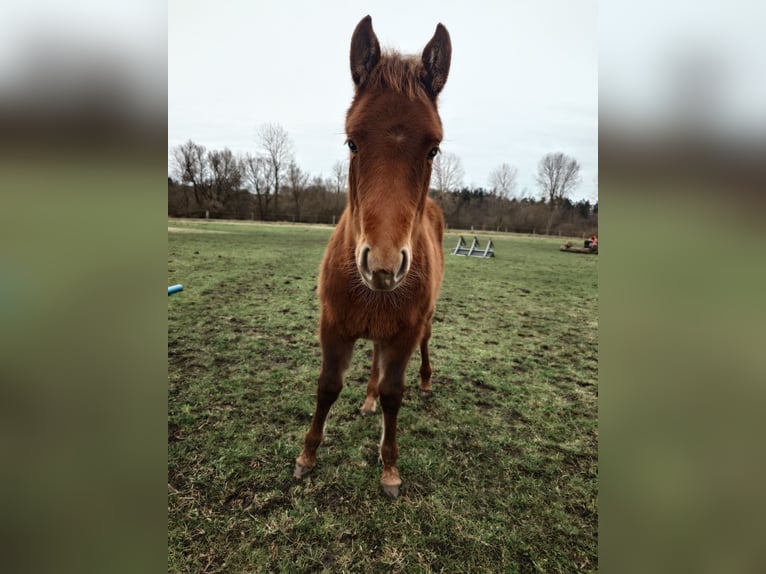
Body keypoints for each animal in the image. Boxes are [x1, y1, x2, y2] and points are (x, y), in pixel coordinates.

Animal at [294, 15, 451, 498]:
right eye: (352, 142)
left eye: (433, 148)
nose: (382, 265)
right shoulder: (333, 325)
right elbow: (328, 386)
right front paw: (306, 457)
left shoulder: (403, 332)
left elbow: (393, 394)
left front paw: (390, 470)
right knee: (373, 366)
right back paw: (364, 401)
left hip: (423, 322)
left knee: (420, 348)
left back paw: (425, 381)